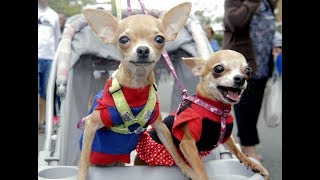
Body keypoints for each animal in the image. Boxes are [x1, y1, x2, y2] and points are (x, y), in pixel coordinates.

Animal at [77, 2, 194, 180]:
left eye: (160, 39)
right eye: (123, 40)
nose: (143, 50)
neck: (136, 88)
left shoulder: (160, 127)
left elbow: (174, 152)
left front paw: (188, 169)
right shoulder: (91, 122)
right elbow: (83, 160)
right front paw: (81, 176)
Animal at [135, 50, 270, 180]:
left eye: (248, 71)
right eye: (218, 69)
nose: (241, 78)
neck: (216, 109)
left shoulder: (225, 137)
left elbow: (237, 150)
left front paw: (254, 164)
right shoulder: (187, 144)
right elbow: (200, 170)